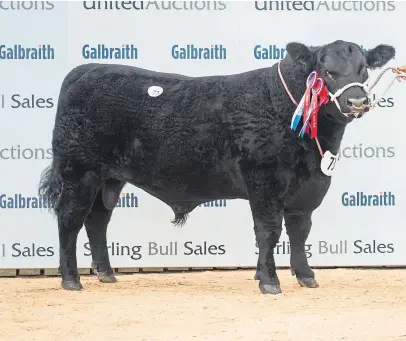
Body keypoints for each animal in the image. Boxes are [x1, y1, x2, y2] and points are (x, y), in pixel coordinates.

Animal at [39, 39, 394, 294]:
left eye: (363, 69)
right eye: (327, 71)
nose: (357, 101)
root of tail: (86, 70)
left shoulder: (309, 187)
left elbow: (299, 231)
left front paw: (305, 276)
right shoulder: (265, 181)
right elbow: (269, 230)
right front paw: (269, 281)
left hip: (108, 178)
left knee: (97, 220)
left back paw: (107, 274)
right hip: (79, 171)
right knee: (70, 218)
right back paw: (71, 279)